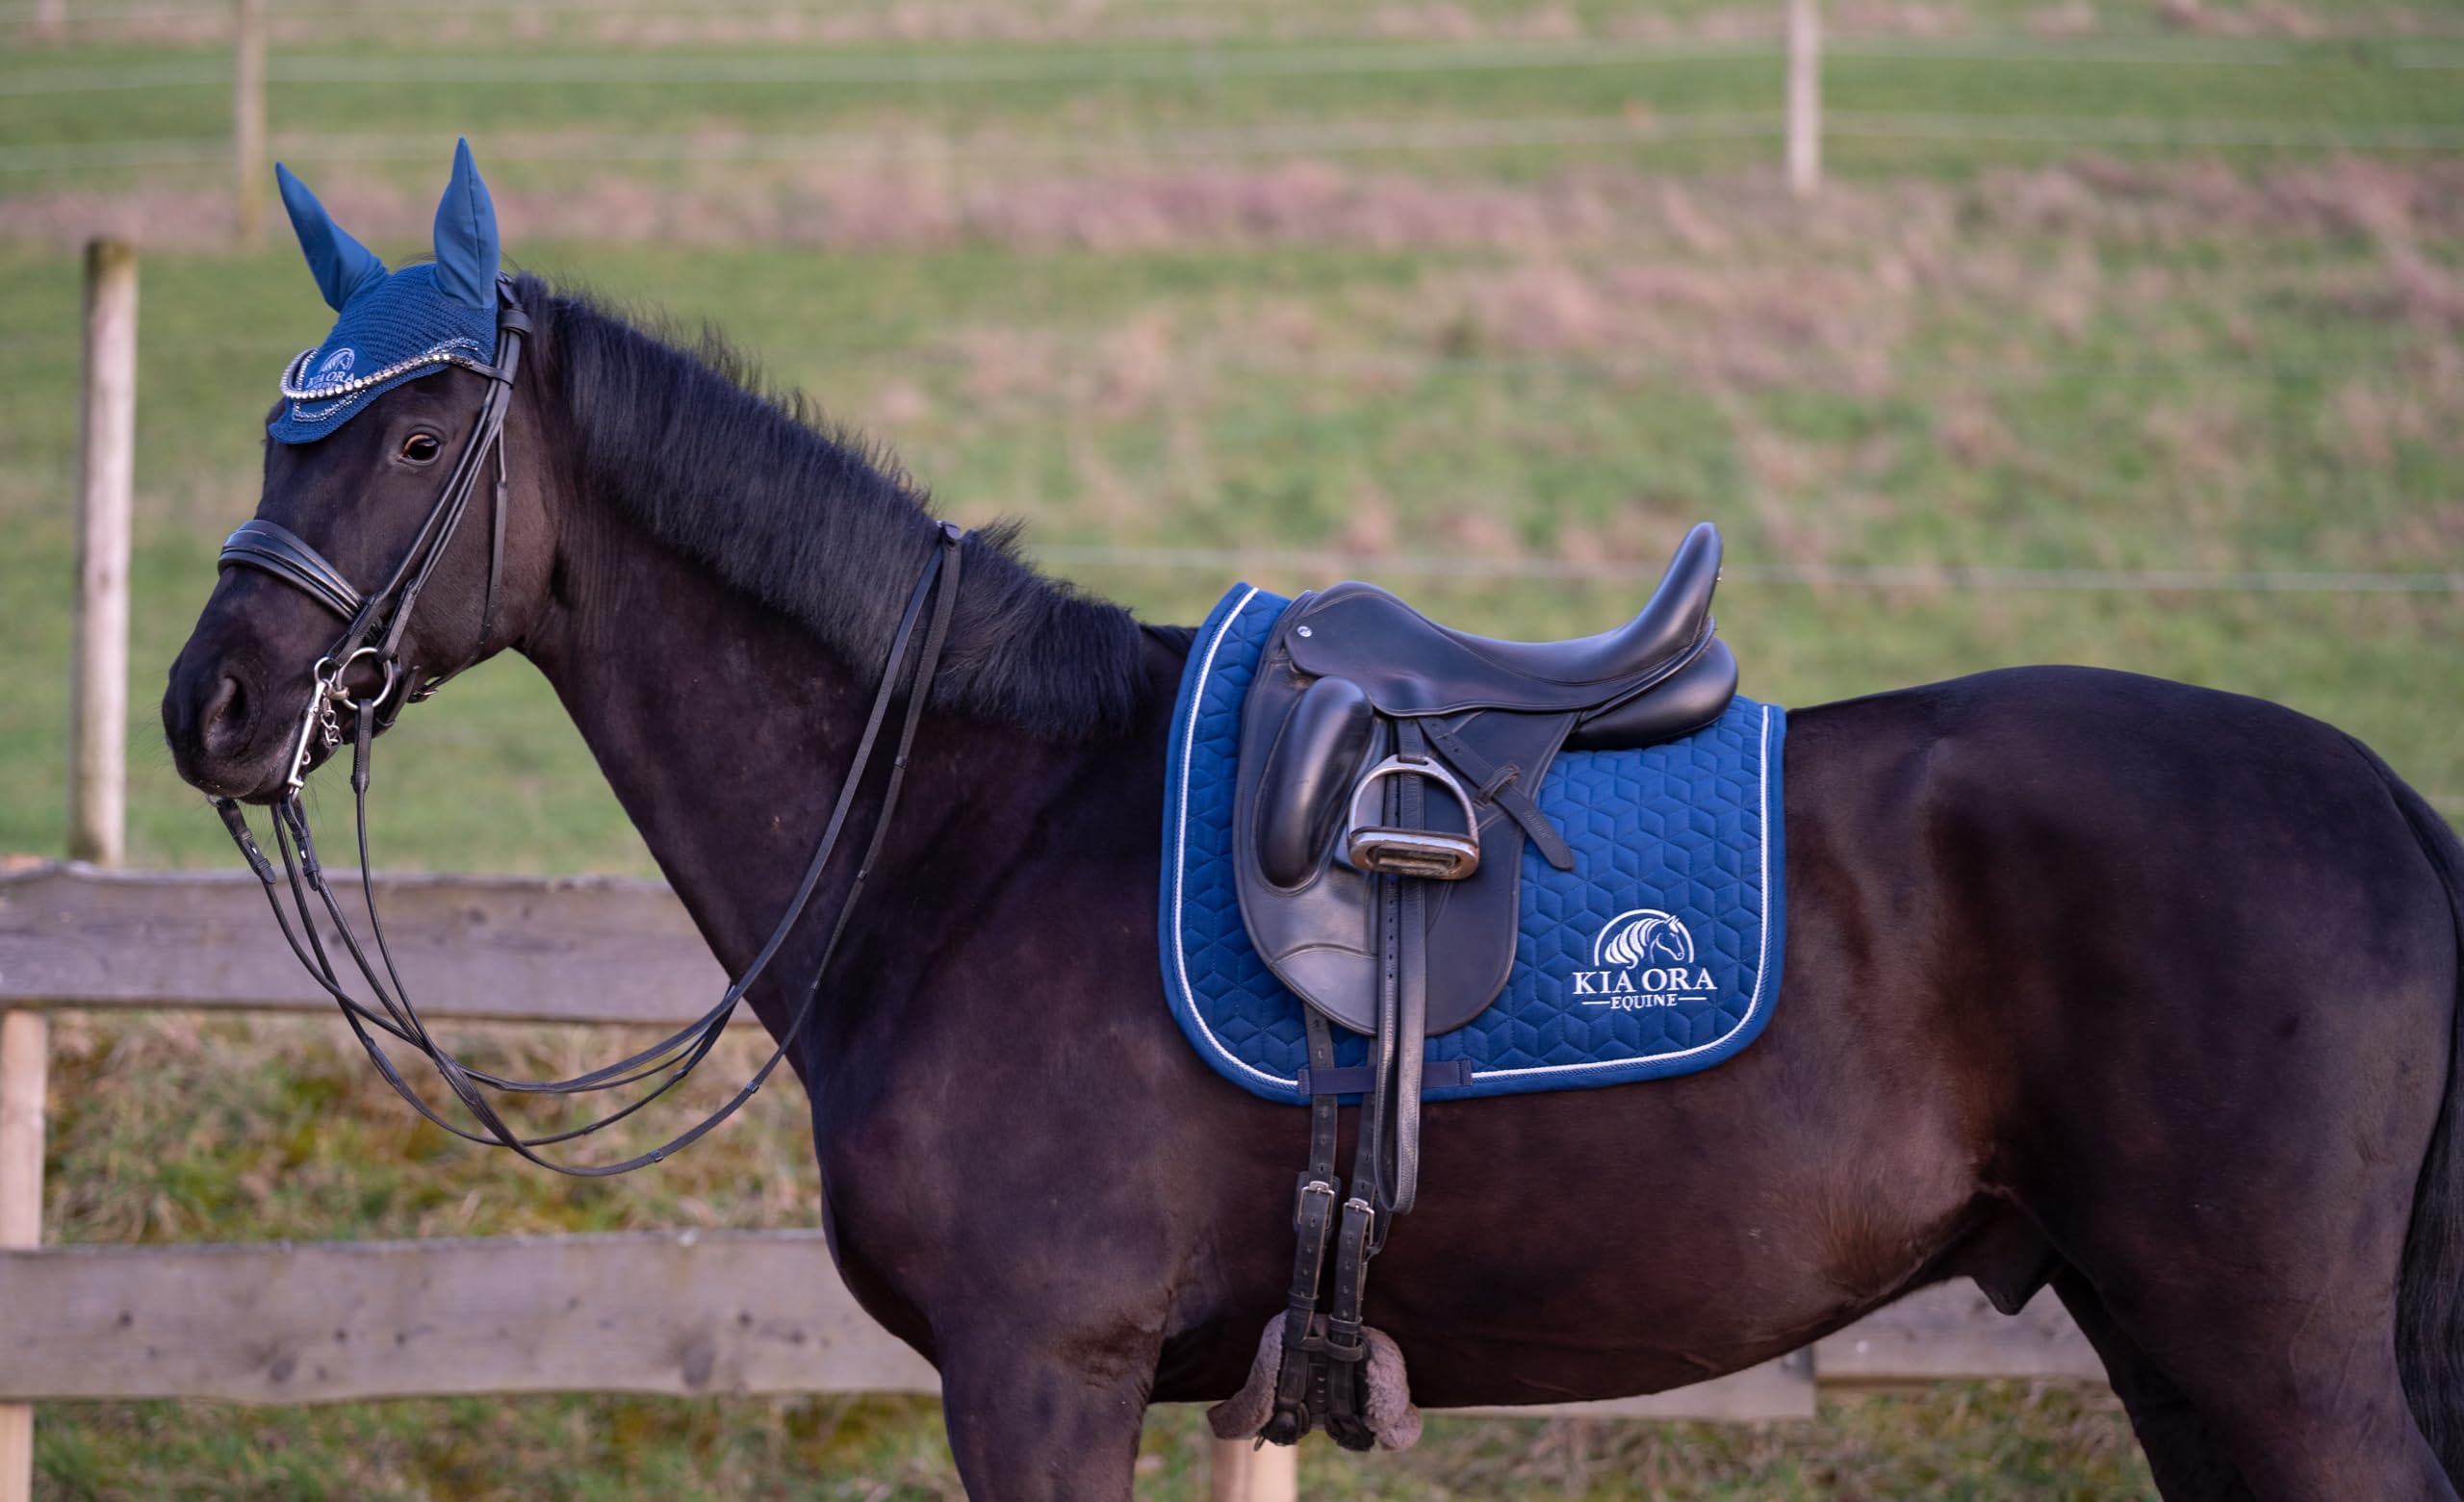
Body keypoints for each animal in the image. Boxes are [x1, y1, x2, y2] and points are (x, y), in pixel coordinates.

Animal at [161, 269, 2464, 1499]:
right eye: (287, 434)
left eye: (411, 440)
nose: (215, 700)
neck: (971, 835)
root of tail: (2383, 804)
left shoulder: (1043, 1373)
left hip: (2266, 1348)